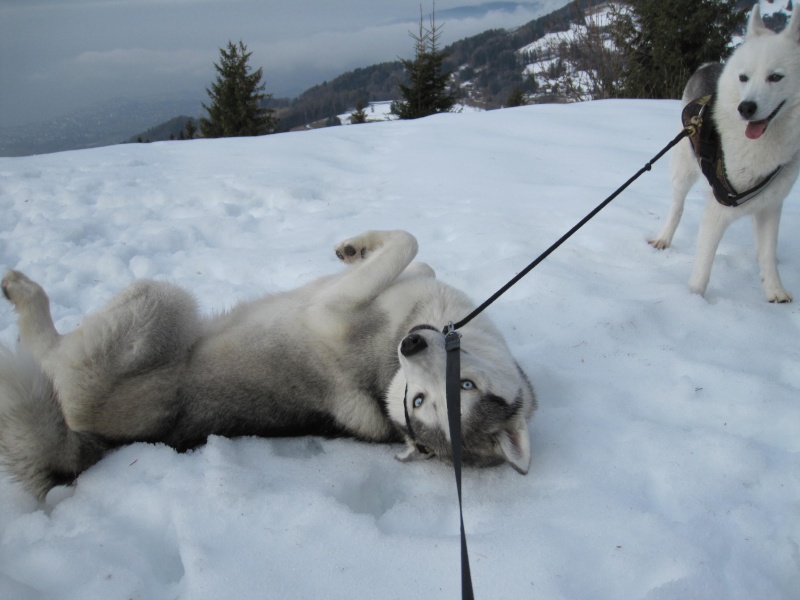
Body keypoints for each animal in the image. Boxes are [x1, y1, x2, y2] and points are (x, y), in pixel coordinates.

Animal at [1, 229, 536, 496]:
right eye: (422, 399)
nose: (411, 346)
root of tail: (97, 445)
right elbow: (416, 257)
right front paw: (357, 248)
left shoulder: (329, 309)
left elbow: (408, 243)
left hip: (160, 302)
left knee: (45, 355)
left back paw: (22, 293)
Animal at [648, 4, 800, 302]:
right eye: (744, 78)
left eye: (775, 77)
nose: (746, 108)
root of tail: (709, 65)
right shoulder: (717, 210)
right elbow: (703, 267)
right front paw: (694, 301)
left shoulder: (772, 203)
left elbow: (768, 251)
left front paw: (774, 289)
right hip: (683, 169)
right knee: (677, 207)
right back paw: (664, 237)